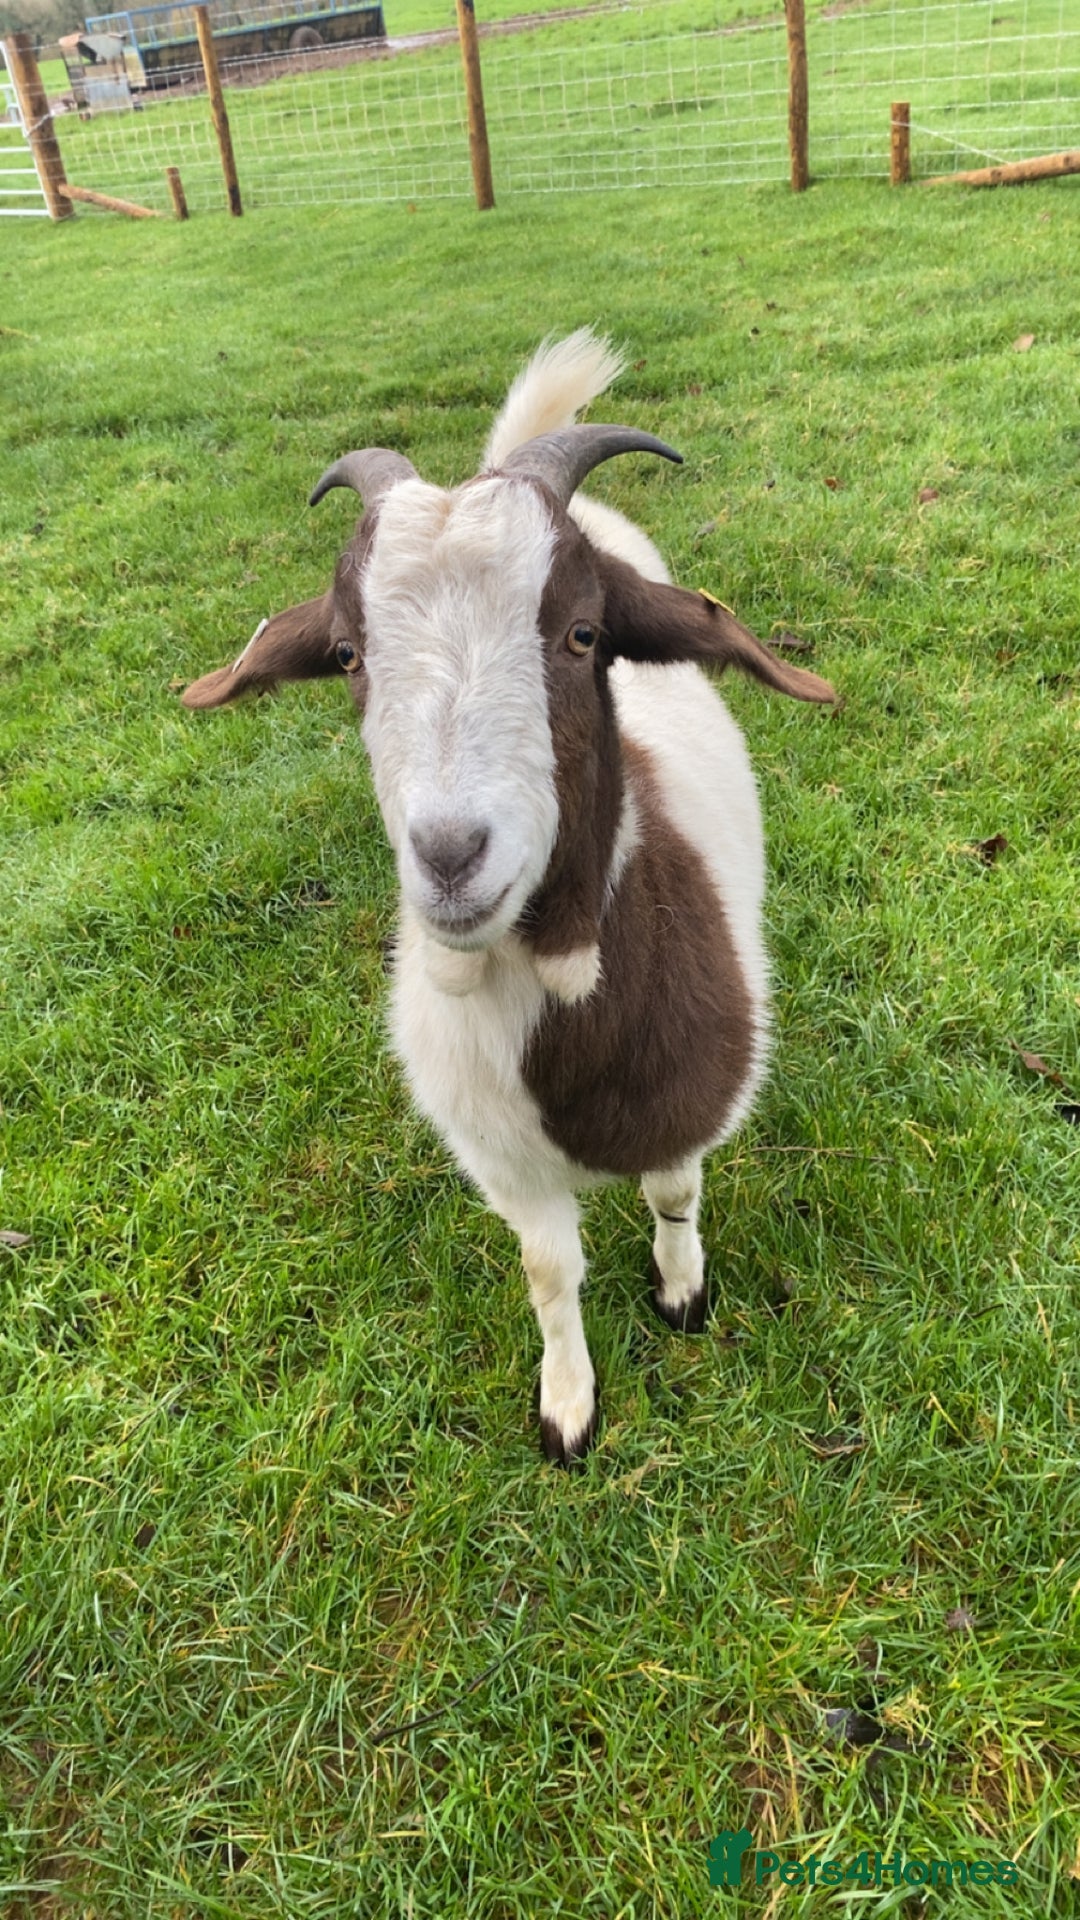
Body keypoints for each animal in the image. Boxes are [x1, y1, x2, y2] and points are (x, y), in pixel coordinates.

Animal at [182, 330, 835, 1465]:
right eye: (348, 655)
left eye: (583, 636)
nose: (450, 857)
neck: (560, 981)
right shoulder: (501, 1160)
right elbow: (548, 1271)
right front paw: (567, 1404)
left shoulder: (690, 1101)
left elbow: (674, 1193)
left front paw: (682, 1292)